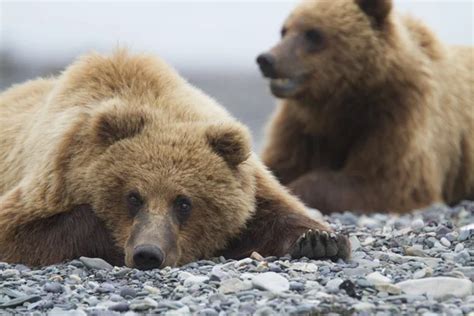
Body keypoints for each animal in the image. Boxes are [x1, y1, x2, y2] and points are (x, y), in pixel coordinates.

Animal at [0, 50, 348, 270]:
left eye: (184, 202)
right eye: (133, 197)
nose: (148, 254)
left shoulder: (252, 184)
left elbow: (276, 214)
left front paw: (320, 240)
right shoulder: (54, 175)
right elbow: (18, 231)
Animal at [258, 0, 472, 215]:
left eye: (313, 33)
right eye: (284, 30)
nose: (266, 59)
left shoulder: (398, 112)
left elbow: (387, 181)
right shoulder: (302, 125)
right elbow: (280, 162)